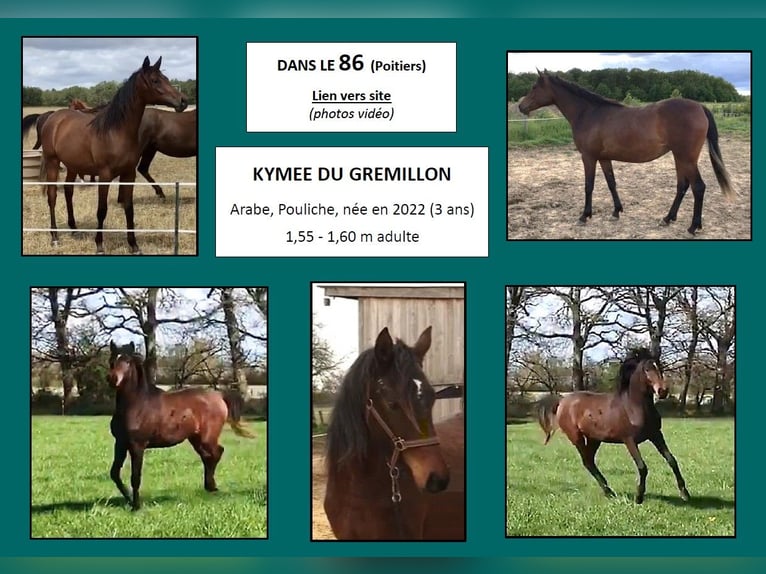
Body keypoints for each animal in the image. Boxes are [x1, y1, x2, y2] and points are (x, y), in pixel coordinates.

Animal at [39, 56, 187, 254]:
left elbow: (129, 208)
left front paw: (134, 245)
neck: (115, 132)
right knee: (52, 195)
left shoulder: (128, 174)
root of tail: (53, 118)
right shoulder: (104, 175)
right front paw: (99, 245)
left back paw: (74, 229)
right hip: (53, 163)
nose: (183, 101)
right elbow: (102, 210)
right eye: (155, 80)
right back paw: (54, 237)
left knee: (68, 192)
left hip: (72, 166)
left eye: (166, 78)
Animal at [107, 341, 255, 510]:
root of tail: (219, 396)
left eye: (127, 361)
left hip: (207, 437)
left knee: (217, 452)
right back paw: (210, 487)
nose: (112, 378)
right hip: (195, 439)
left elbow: (135, 476)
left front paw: (136, 506)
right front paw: (129, 499)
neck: (137, 404)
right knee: (208, 457)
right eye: (111, 359)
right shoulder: (120, 442)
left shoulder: (137, 445)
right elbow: (114, 473)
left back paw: (212, 487)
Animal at [517, 70, 735, 235]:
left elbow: (589, 186)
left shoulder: (588, 157)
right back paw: (667, 218)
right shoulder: (604, 158)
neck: (589, 113)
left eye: (534, 87)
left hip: (686, 158)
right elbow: (611, 183)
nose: (520, 106)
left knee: (698, 187)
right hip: (680, 157)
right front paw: (616, 211)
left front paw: (584, 216)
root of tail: (699, 106)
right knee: (683, 186)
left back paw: (693, 227)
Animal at [536, 348, 690, 504]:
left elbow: (672, 460)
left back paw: (608, 491)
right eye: (647, 369)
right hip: (576, 437)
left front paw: (685, 494)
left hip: (594, 439)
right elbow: (642, 467)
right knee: (587, 462)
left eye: (660, 367)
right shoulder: (629, 440)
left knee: (590, 461)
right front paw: (639, 497)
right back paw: (609, 492)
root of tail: (562, 401)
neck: (633, 407)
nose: (662, 391)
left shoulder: (656, 435)